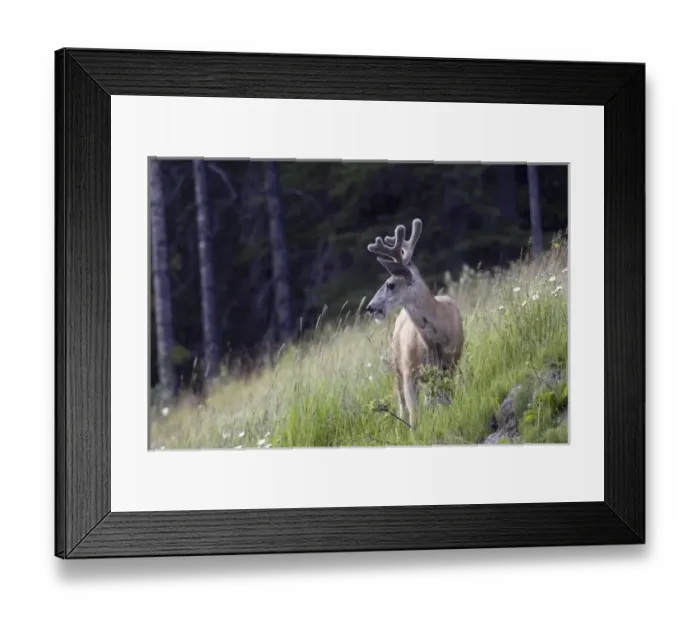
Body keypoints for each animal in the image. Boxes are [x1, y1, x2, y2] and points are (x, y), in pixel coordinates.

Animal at [365, 218, 465, 430]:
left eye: (390, 284)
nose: (370, 307)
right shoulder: (408, 369)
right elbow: (414, 413)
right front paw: (414, 431)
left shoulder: (451, 364)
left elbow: (447, 399)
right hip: (396, 363)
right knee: (402, 402)